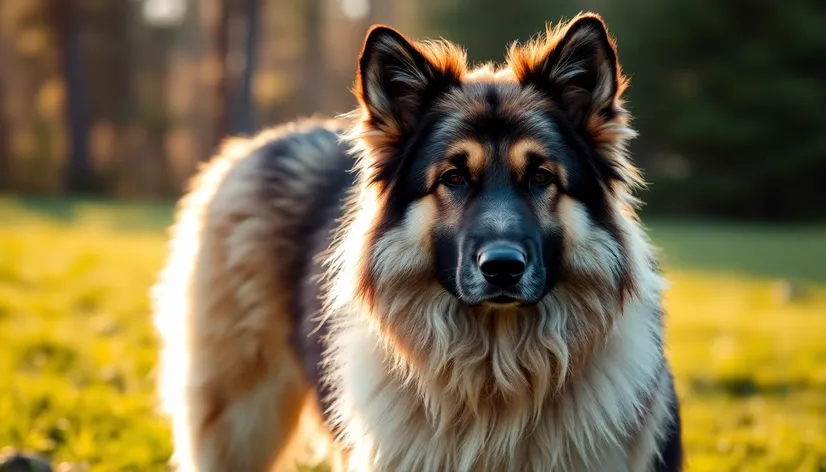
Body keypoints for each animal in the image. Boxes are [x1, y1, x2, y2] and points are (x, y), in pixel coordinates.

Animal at [153, 12, 684, 472]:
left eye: (540, 177)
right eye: (453, 177)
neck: (496, 376)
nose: (503, 268)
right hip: (240, 420)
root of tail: (260, 143)